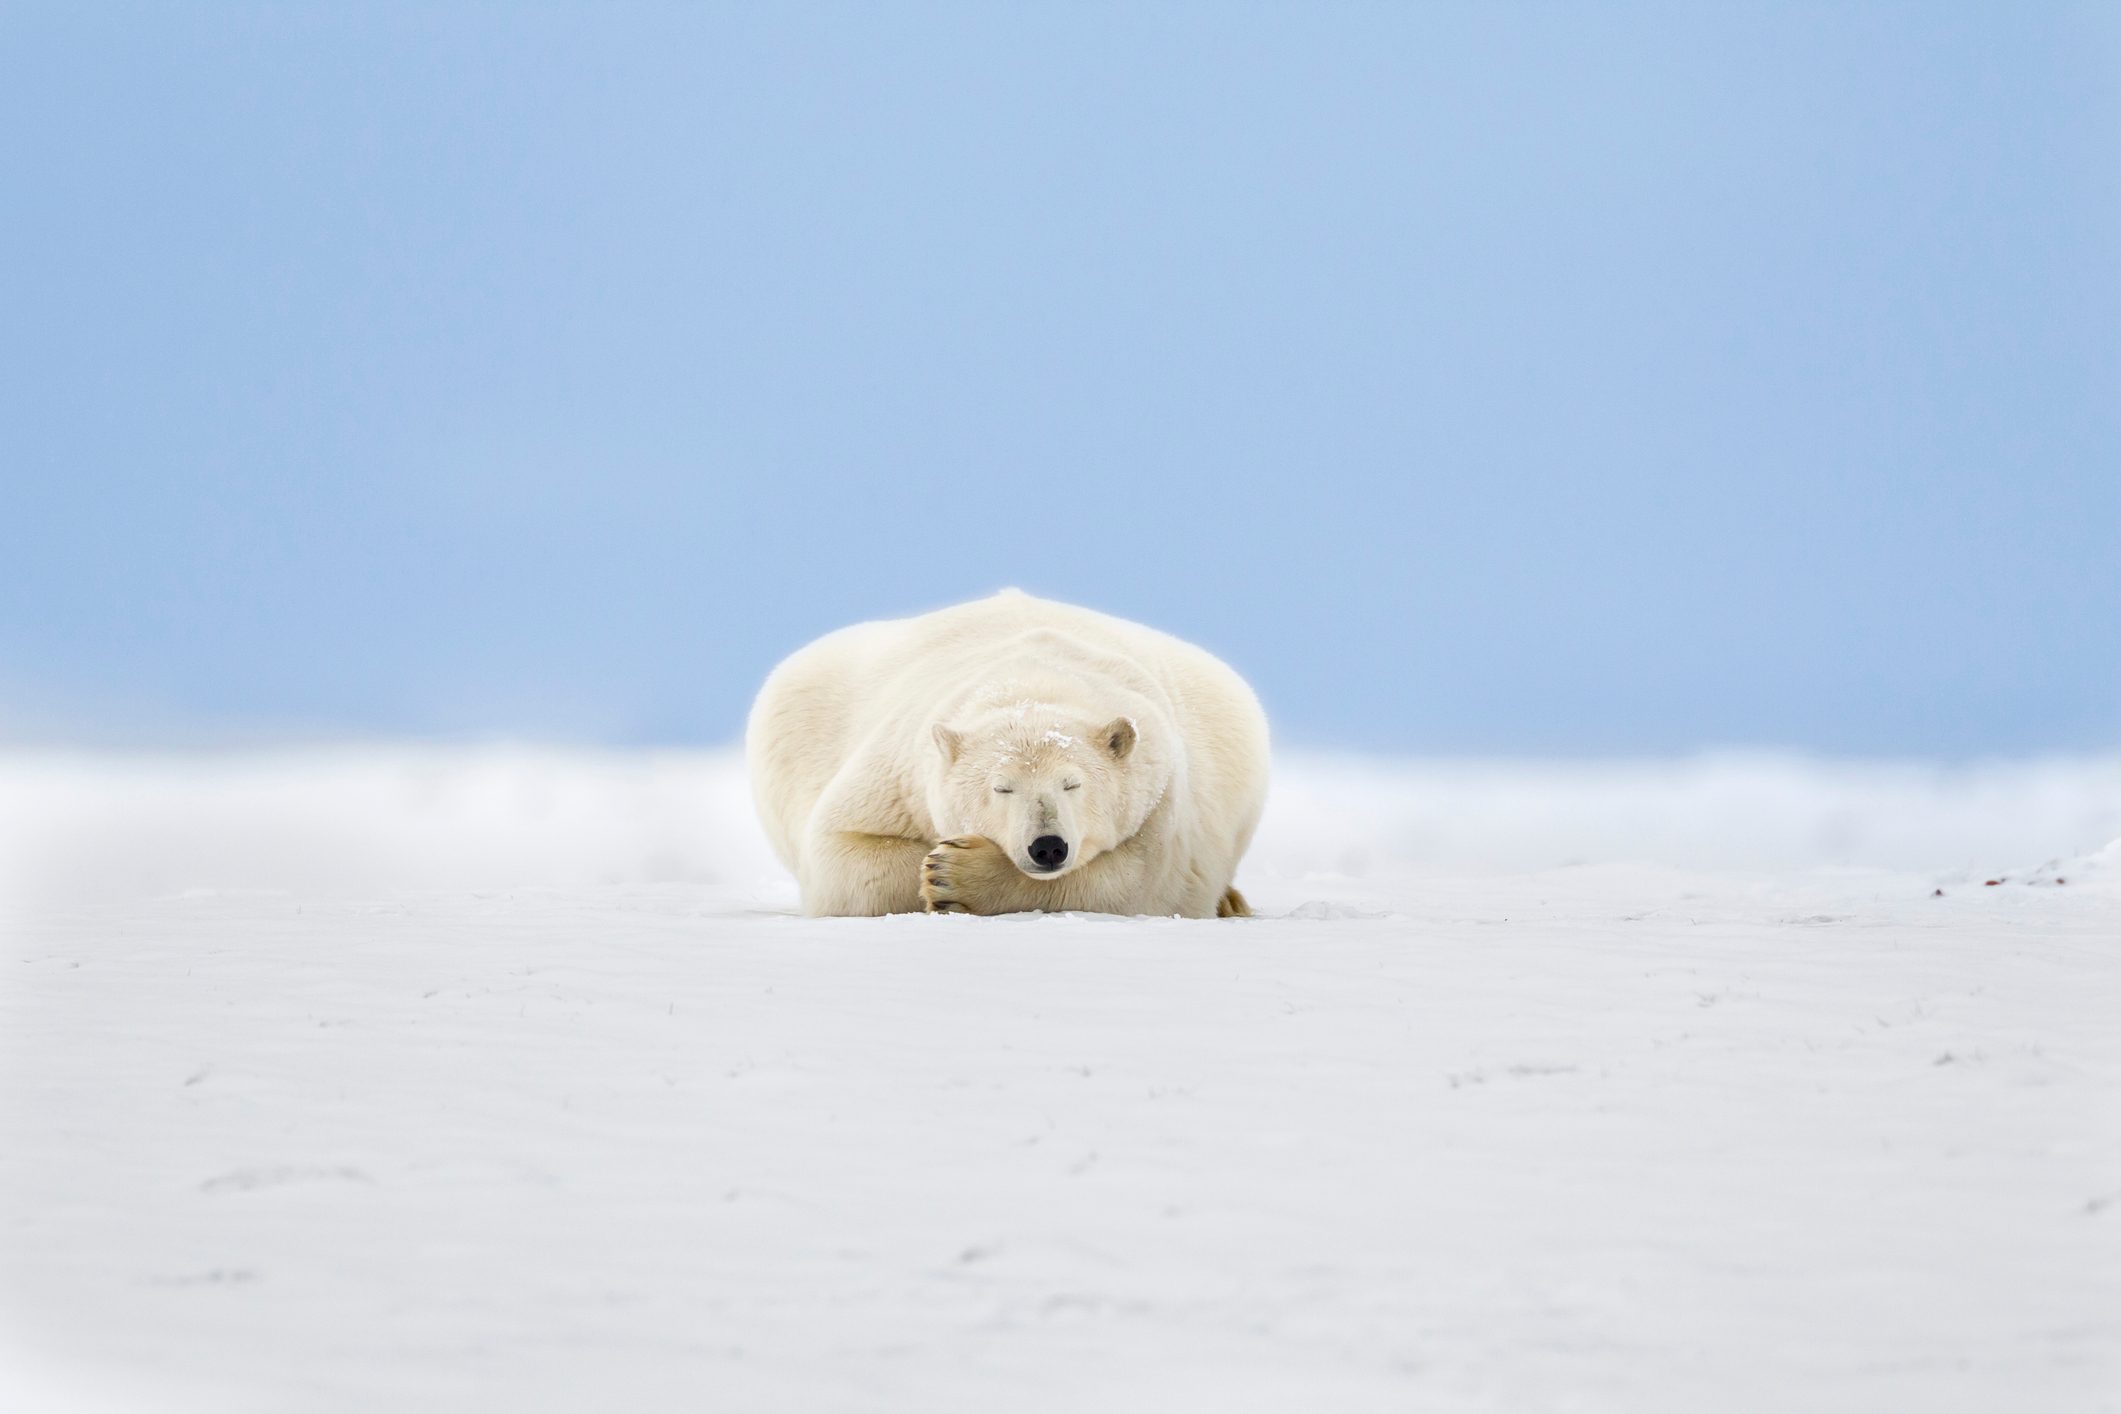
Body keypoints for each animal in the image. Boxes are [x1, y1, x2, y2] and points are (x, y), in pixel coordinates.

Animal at [746, 590, 1269, 918]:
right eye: (1002, 788)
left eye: (1073, 784)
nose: (1048, 846)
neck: (1033, 679)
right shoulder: (898, 773)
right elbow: (841, 853)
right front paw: (936, 864)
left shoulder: (1162, 794)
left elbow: (1143, 881)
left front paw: (957, 875)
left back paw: (1232, 902)